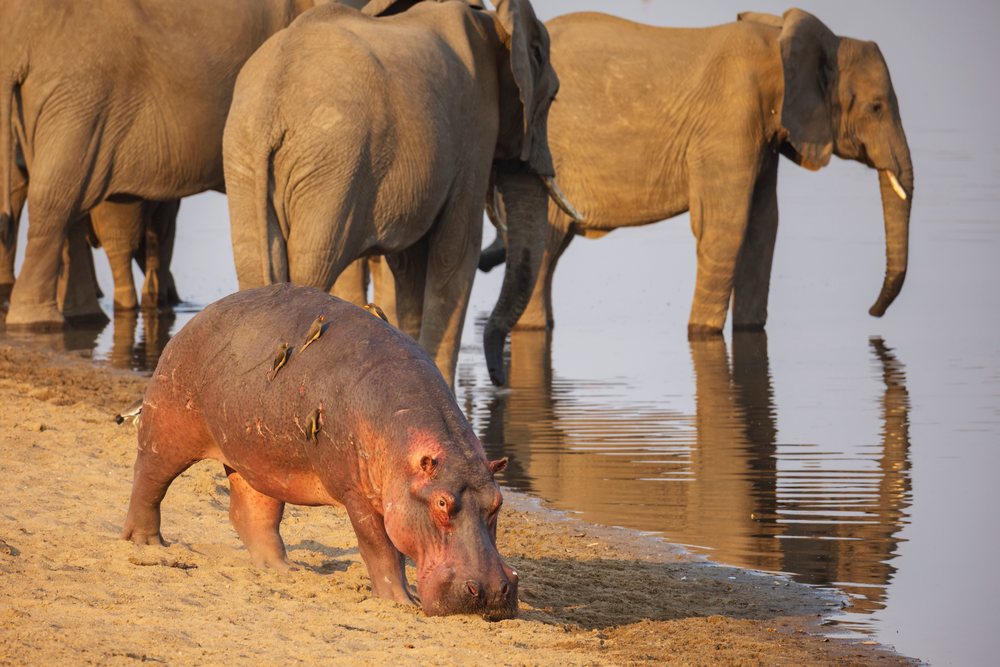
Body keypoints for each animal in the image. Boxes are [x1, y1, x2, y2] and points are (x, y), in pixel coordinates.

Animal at [0, 0, 324, 329]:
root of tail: (16, 47)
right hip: (79, 97)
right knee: (55, 201)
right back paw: (39, 322)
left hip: (74, 102)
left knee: (58, 202)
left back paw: (83, 316)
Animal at [121, 284, 518, 619]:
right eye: (441, 503)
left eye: (499, 502)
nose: (490, 591)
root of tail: (197, 317)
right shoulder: (356, 495)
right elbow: (380, 548)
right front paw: (401, 601)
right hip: (169, 426)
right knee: (148, 481)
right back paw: (147, 543)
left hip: (258, 459)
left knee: (252, 513)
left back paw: (283, 568)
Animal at [224, 0, 580, 388]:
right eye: (553, 96)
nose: (499, 381)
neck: (493, 21)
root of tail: (270, 105)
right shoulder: (475, 131)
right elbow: (456, 252)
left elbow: (410, 267)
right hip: (332, 166)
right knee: (313, 264)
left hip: (244, 162)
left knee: (255, 268)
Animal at [479, 9, 913, 337]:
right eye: (876, 107)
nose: (872, 313)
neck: (778, 38)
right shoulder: (730, 121)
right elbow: (727, 226)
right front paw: (702, 334)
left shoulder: (763, 135)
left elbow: (763, 227)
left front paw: (749, 331)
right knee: (546, 246)